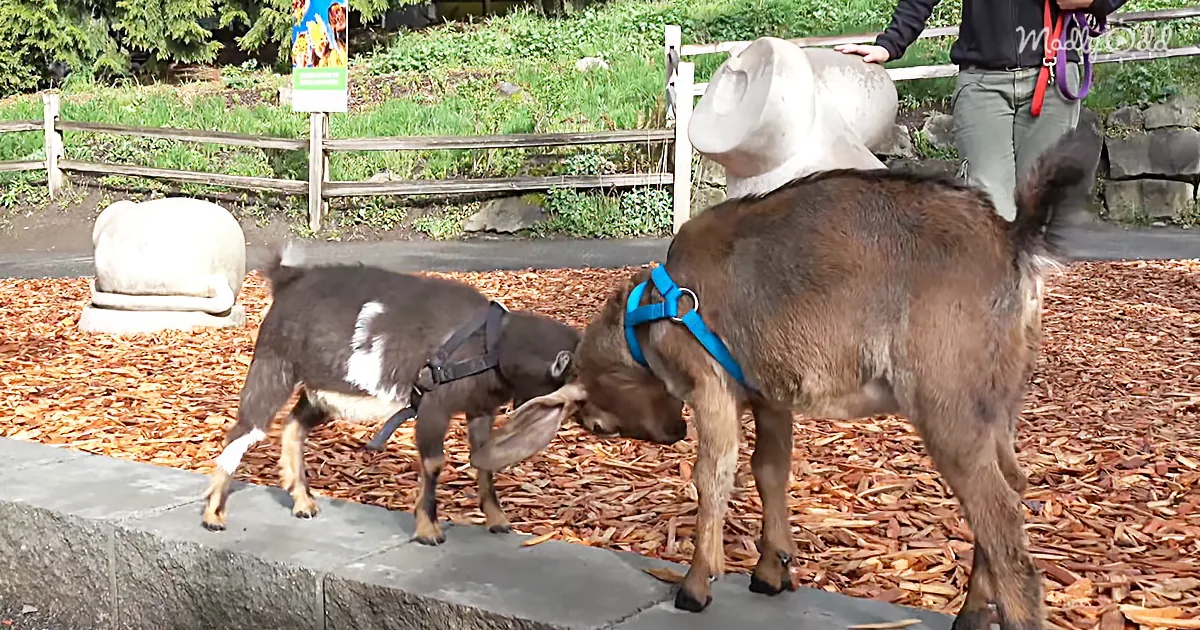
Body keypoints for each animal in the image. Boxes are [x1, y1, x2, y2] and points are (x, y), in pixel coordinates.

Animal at [201, 251, 581, 546]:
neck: (489, 345)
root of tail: (287, 279)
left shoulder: (481, 409)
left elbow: (484, 460)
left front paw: (498, 521)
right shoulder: (432, 405)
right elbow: (435, 463)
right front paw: (428, 530)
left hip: (324, 390)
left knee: (294, 425)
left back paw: (303, 502)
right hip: (273, 365)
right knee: (243, 429)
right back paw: (213, 515)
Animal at [469, 127, 1093, 629]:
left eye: (597, 426)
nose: (670, 433)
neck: (651, 309)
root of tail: (1014, 242)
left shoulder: (711, 382)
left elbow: (714, 474)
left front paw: (696, 585)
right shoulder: (770, 392)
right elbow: (769, 470)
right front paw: (773, 570)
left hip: (949, 401)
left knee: (999, 510)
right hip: (998, 399)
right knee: (1013, 485)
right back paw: (971, 612)